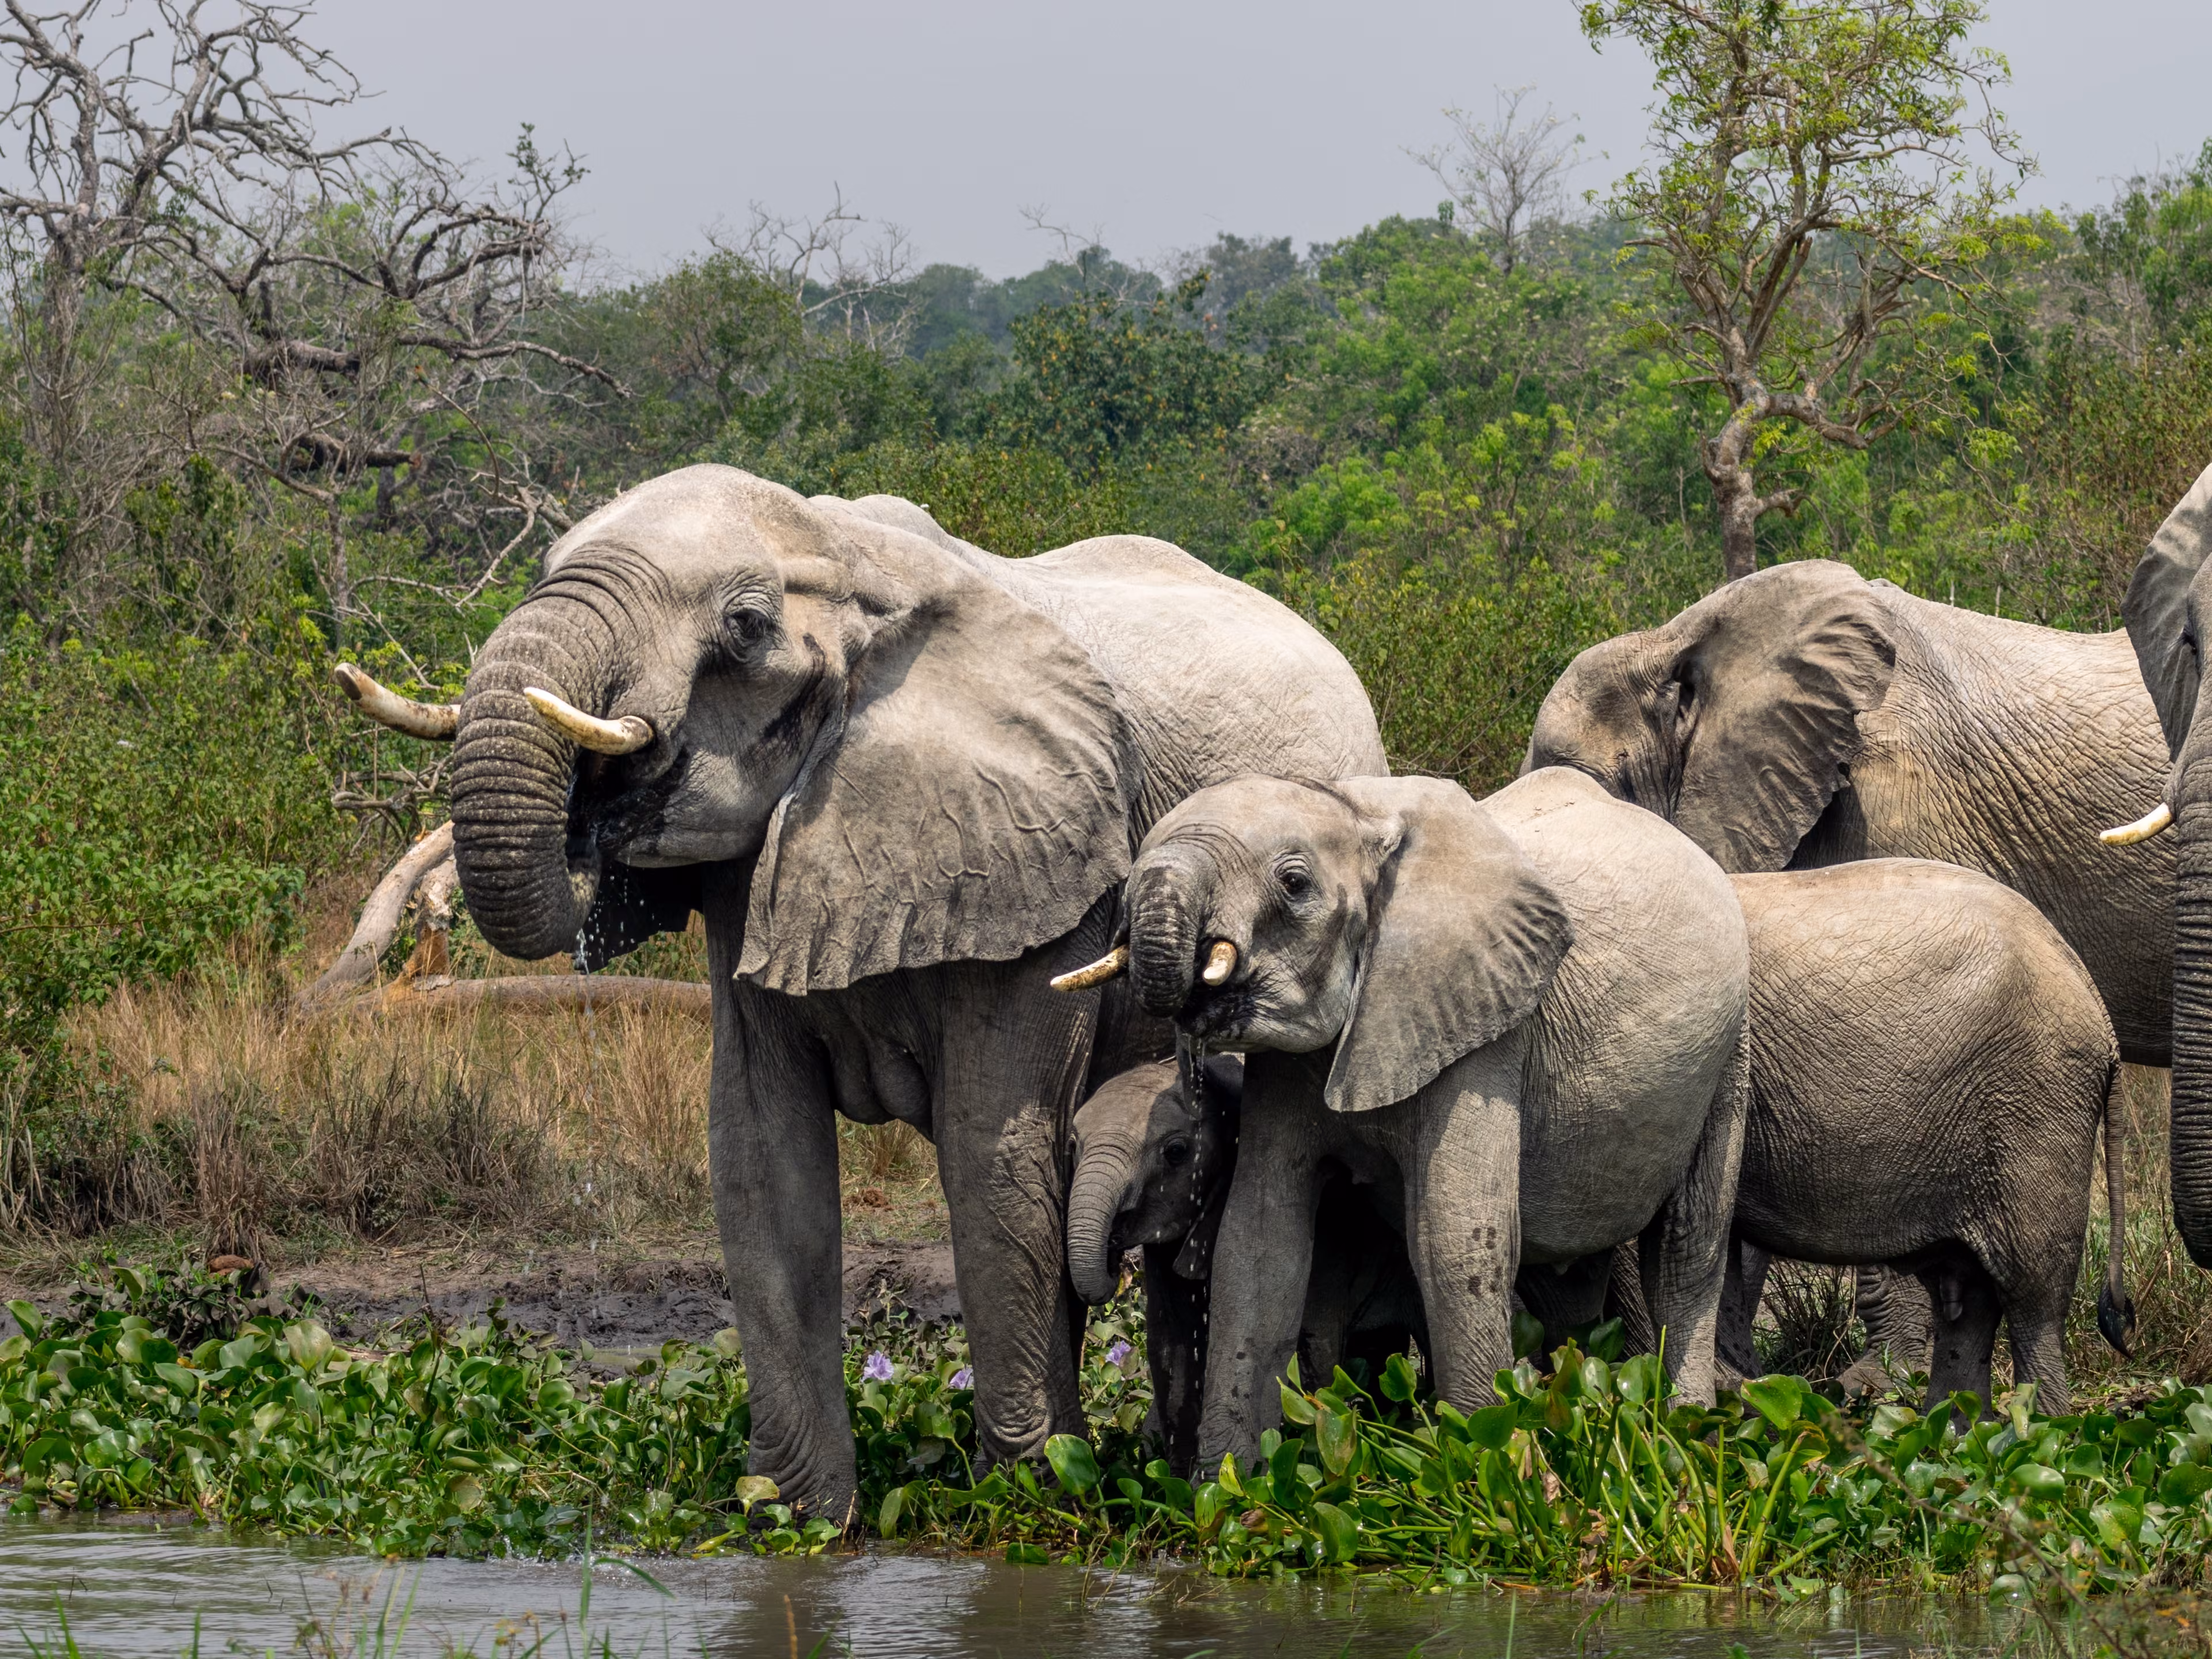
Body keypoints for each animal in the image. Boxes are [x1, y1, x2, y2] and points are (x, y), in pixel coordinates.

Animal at [336, 464, 1386, 1517]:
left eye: (745, 625)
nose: (591, 809)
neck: (844, 557)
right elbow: (761, 1154)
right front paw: (792, 1518)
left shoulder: (1047, 867)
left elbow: (989, 1148)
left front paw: (1028, 1504)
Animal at [1065, 1053, 1427, 1475]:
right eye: (1072, 1145)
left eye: (1176, 1151)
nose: (1114, 1256)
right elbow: (1171, 1344)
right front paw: (1178, 1482)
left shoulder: (1329, 1229)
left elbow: (1313, 1342)